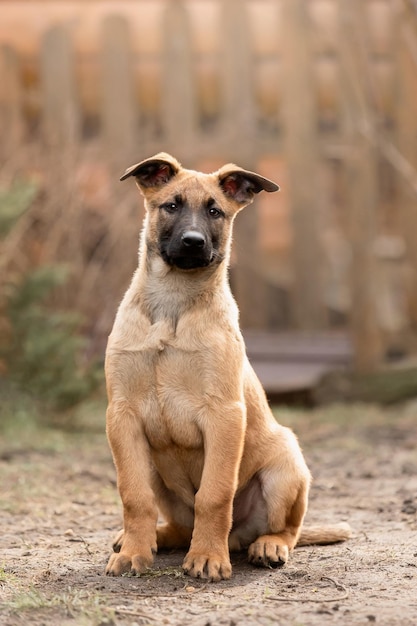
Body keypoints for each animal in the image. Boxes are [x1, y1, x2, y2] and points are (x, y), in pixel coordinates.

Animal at [105, 155, 352, 580]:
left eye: (214, 212)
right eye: (171, 205)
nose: (193, 242)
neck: (173, 305)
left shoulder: (224, 416)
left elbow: (214, 495)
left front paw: (207, 558)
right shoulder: (123, 417)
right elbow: (133, 495)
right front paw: (134, 553)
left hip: (287, 463)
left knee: (285, 529)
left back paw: (266, 546)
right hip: (156, 468)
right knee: (178, 525)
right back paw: (150, 538)